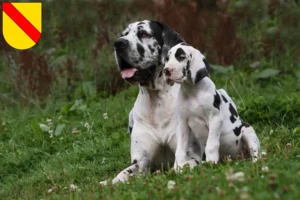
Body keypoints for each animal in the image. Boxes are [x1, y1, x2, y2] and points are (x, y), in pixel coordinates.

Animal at [99, 19, 184, 185]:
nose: (118, 43)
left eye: (144, 34)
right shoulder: (140, 162)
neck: (157, 101)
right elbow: (120, 176)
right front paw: (110, 182)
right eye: (124, 34)